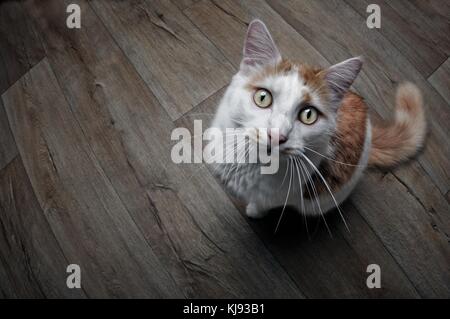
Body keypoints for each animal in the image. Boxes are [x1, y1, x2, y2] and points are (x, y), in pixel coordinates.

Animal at [207, 20, 426, 226]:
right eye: (263, 97)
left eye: (308, 115)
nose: (277, 136)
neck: (253, 165)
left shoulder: (279, 197)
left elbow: (261, 204)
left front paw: (254, 211)